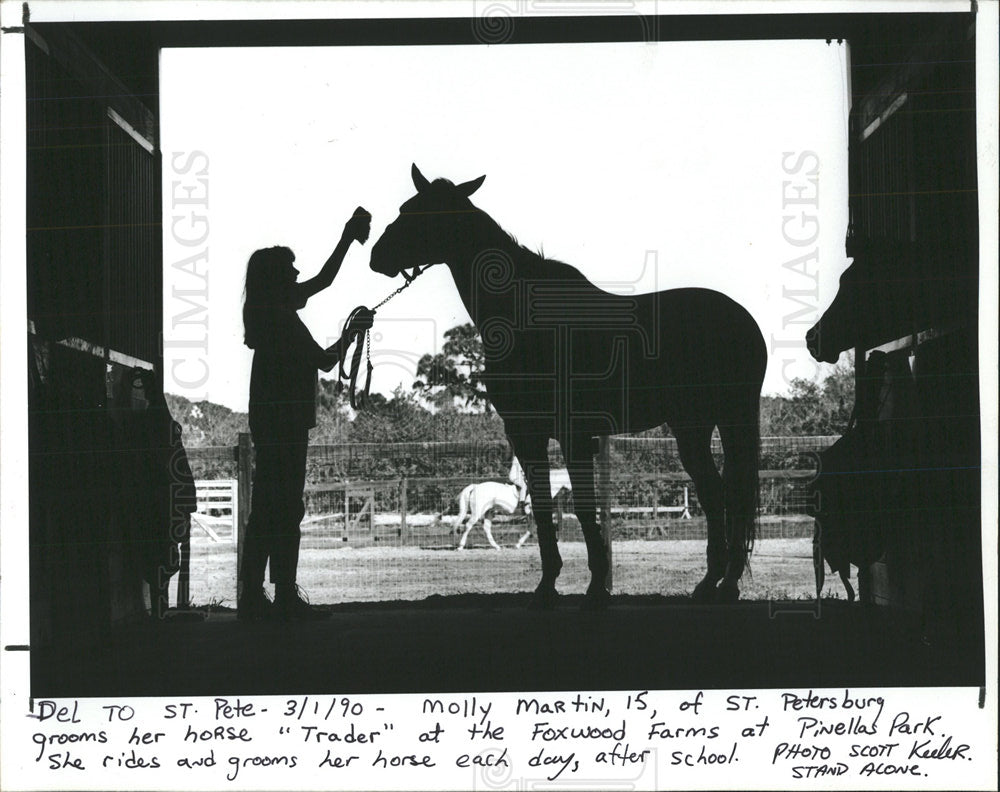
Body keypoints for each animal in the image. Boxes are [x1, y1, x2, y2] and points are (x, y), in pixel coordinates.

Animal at [372, 164, 768, 604]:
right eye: (406, 207)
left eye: (419, 213)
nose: (376, 256)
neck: (526, 317)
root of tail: (744, 321)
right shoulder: (527, 432)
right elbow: (546, 507)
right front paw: (548, 586)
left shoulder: (570, 432)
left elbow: (580, 506)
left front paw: (595, 588)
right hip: (694, 427)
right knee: (717, 493)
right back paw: (712, 582)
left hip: (724, 420)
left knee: (731, 494)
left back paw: (725, 583)